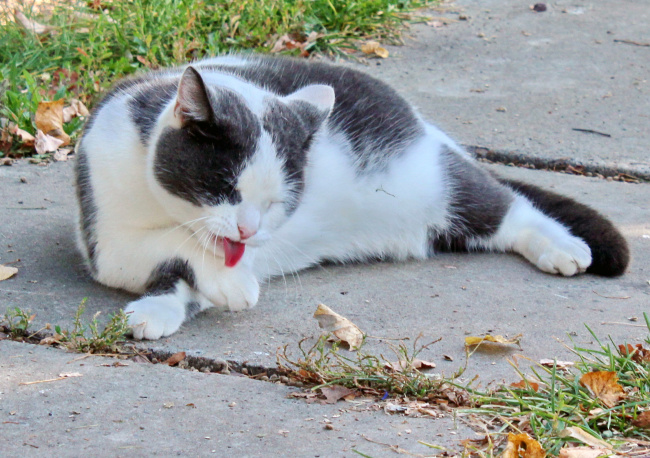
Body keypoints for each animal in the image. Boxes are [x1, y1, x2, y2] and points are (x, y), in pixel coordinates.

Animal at [74, 54, 628, 340]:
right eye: (225, 188)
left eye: (277, 203)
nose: (249, 230)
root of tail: (423, 122)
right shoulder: (106, 241)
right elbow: (175, 256)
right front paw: (166, 305)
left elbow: (187, 248)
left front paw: (228, 282)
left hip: (433, 179)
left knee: (505, 205)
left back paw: (564, 247)